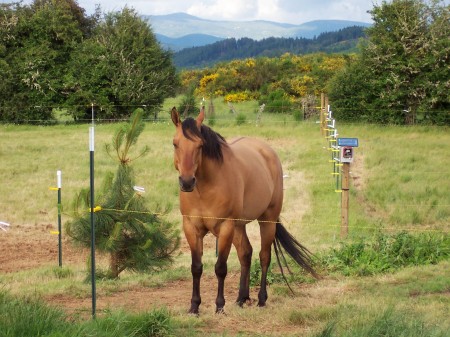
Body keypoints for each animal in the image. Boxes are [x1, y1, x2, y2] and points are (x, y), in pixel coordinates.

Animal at [171, 106, 318, 314]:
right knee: (245, 254)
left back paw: (261, 299)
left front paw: (219, 306)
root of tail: (267, 152)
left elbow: (220, 268)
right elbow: (196, 267)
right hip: (239, 226)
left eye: (200, 145)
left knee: (264, 257)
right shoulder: (191, 228)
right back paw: (241, 298)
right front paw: (194, 307)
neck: (204, 189)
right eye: (175, 144)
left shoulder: (225, 228)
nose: (186, 182)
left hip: (267, 220)